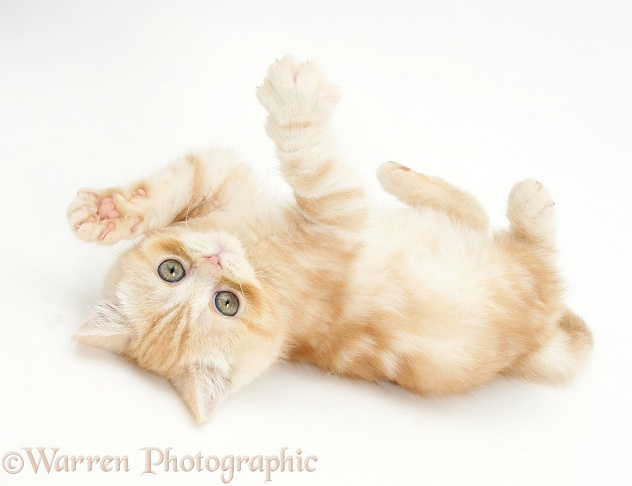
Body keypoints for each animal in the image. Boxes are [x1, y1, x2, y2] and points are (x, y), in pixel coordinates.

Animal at [68, 56, 592, 422]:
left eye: (169, 271)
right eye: (227, 304)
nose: (217, 258)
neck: (255, 255)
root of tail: (534, 347)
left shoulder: (228, 187)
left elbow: (181, 181)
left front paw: (108, 212)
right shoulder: (339, 217)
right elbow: (311, 164)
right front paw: (294, 100)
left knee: (474, 215)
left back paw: (401, 175)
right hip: (526, 280)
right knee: (536, 251)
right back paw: (528, 205)